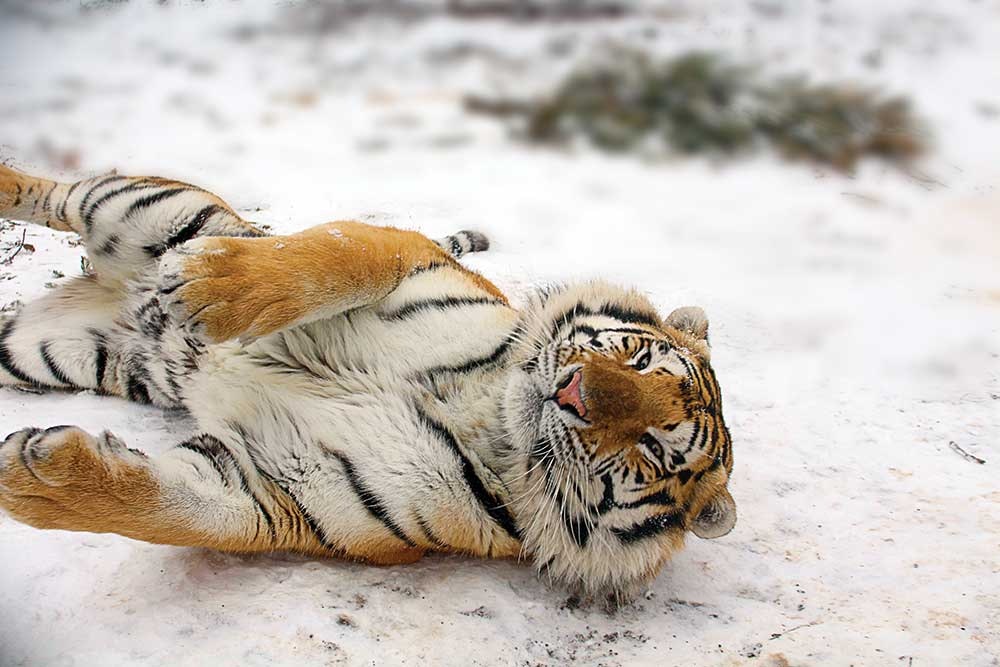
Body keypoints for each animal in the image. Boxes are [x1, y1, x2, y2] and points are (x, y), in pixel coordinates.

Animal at [0, 161, 735, 607]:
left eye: (653, 449)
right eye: (638, 357)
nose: (574, 392)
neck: (487, 416)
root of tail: (102, 285)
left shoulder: (279, 487)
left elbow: (180, 510)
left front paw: (32, 478)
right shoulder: (408, 254)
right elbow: (326, 258)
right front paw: (209, 281)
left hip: (41, 350)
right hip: (148, 208)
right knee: (54, 194)